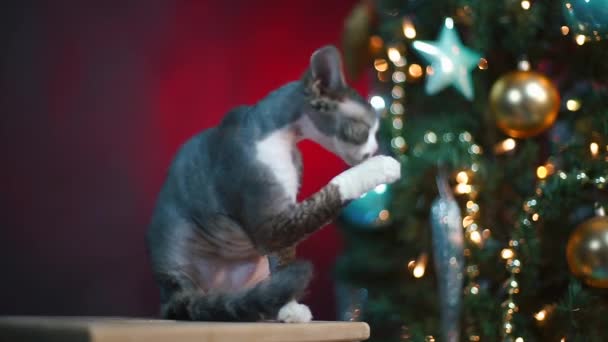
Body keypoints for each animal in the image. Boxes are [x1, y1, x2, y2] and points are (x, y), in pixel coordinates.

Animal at [146, 46, 404, 324]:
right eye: (364, 130)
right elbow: (330, 192)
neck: (284, 141)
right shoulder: (269, 225)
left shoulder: (284, 212)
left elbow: (284, 261)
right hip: (178, 252)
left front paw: (289, 308)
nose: (374, 150)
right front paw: (382, 166)